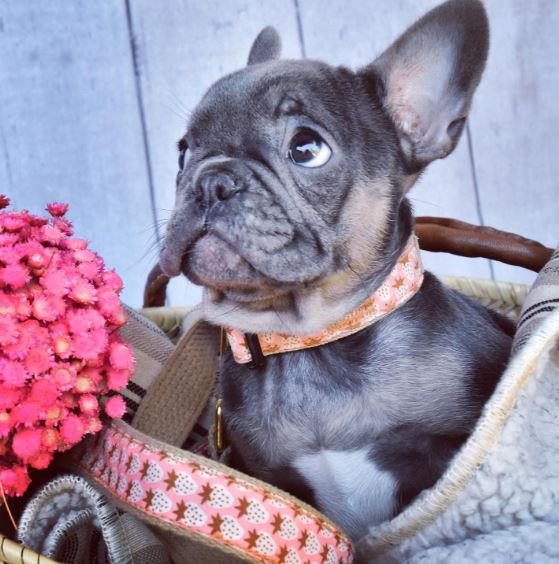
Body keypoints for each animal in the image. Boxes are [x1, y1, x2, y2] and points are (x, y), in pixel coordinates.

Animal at [160, 0, 516, 540]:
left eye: (306, 149)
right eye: (182, 151)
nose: (210, 180)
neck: (311, 340)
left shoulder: (448, 449)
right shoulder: (267, 472)